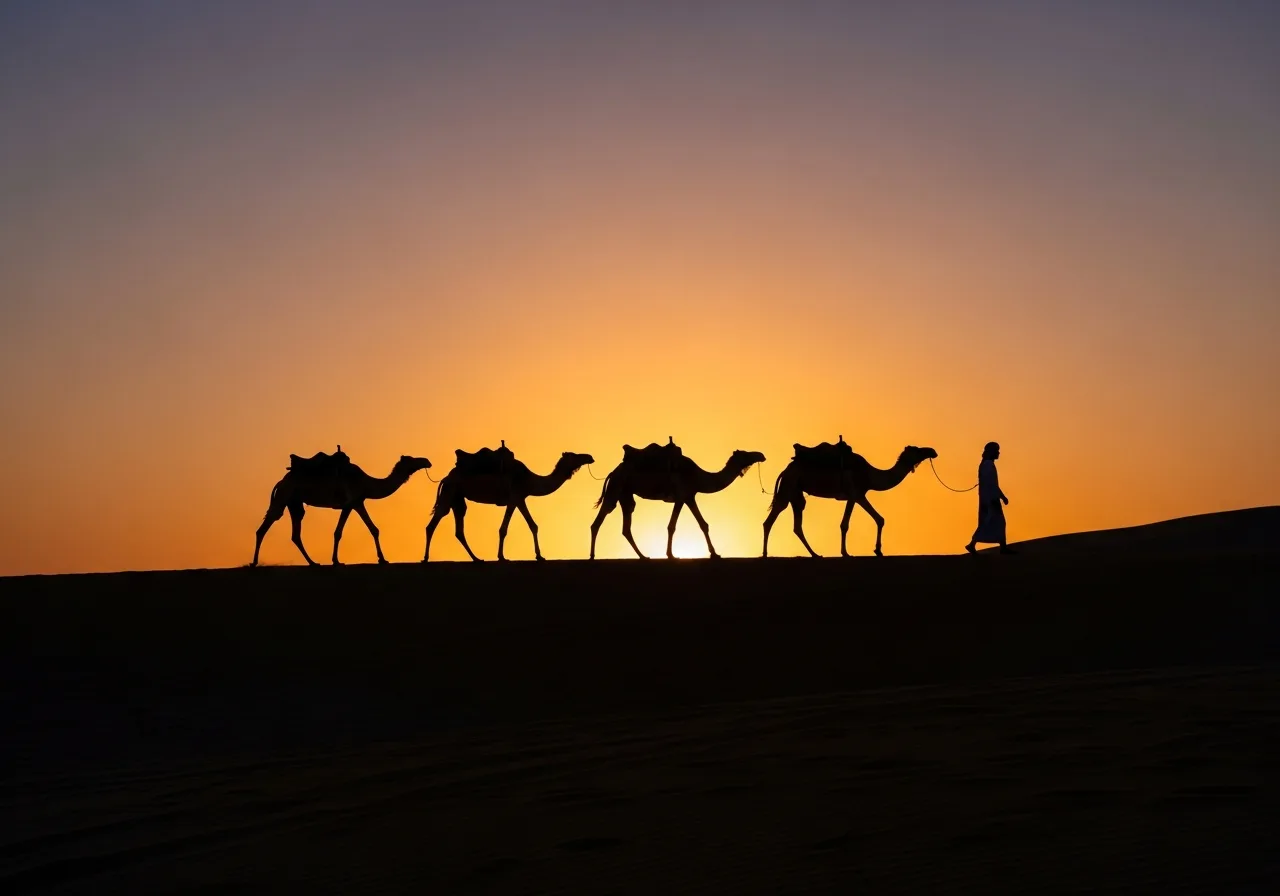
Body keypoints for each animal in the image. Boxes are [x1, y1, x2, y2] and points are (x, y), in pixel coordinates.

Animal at [251, 448, 432, 567]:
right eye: (411, 459)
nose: (427, 461)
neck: (367, 483)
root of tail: (281, 481)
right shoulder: (353, 503)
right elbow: (355, 531)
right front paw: (380, 559)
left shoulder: (354, 504)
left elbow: (357, 530)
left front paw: (338, 560)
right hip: (284, 496)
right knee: (264, 527)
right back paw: (254, 563)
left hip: (294, 503)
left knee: (295, 533)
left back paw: (313, 563)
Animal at [423, 446, 595, 561]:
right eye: (574, 455)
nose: (590, 457)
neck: (530, 479)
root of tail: (445, 478)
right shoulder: (514, 498)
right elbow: (503, 529)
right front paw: (502, 557)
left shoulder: (520, 499)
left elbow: (533, 525)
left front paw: (539, 556)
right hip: (450, 492)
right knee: (433, 523)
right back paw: (425, 558)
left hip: (457, 499)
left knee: (458, 529)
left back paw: (477, 559)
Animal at [589, 440, 766, 559]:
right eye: (745, 454)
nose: (761, 454)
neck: (698, 476)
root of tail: (612, 472)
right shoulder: (681, 496)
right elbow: (672, 526)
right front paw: (671, 555)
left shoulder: (689, 496)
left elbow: (703, 524)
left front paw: (715, 554)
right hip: (616, 487)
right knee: (599, 520)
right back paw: (592, 556)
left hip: (625, 494)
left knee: (625, 526)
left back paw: (643, 556)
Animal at [762, 440, 937, 558]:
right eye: (917, 450)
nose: (933, 451)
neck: (870, 474)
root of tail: (785, 471)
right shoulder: (855, 494)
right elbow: (845, 524)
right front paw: (846, 553)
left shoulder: (859, 495)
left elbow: (879, 519)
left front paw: (878, 550)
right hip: (788, 486)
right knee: (770, 520)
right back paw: (765, 554)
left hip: (795, 493)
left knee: (797, 524)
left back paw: (815, 554)